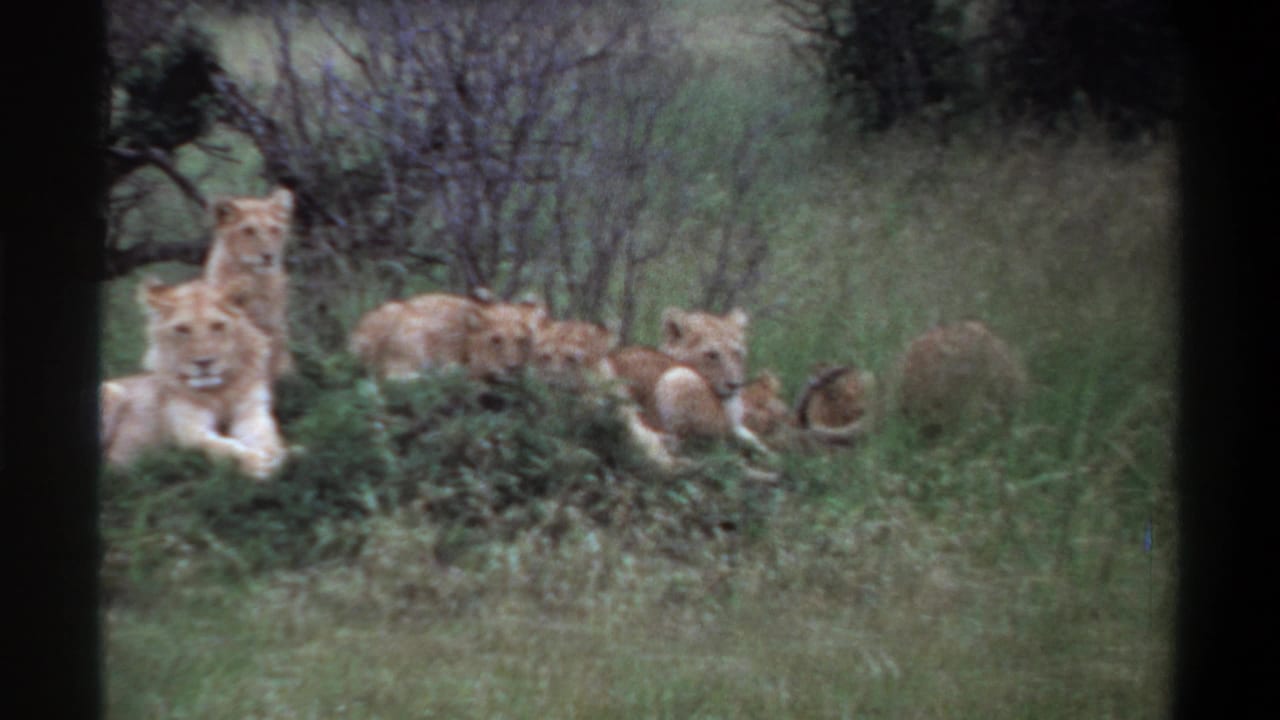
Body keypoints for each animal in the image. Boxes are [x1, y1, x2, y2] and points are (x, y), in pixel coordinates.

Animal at [102, 277, 287, 480]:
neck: (219, 392)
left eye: (218, 326)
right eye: (182, 329)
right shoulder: (187, 431)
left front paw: (275, 454)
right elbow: (220, 448)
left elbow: (265, 437)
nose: (204, 362)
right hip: (112, 390)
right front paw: (255, 463)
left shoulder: (252, 412)